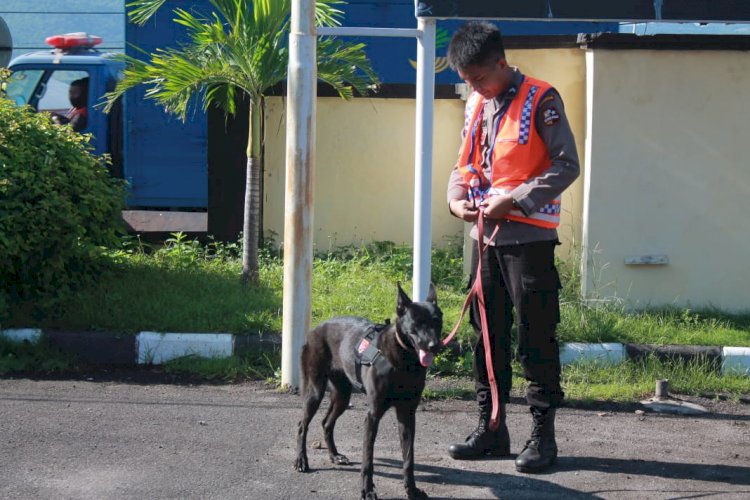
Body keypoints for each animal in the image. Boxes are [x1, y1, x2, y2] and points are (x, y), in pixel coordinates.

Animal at [296, 284, 446, 498]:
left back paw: (335, 455)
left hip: (343, 395)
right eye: (417, 323)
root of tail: (314, 329)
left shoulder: (407, 415)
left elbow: (408, 458)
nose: (435, 346)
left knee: (326, 423)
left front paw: (411, 489)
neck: (404, 360)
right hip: (314, 391)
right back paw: (301, 460)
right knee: (302, 425)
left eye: (437, 321)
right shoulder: (373, 415)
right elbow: (368, 459)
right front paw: (367, 490)